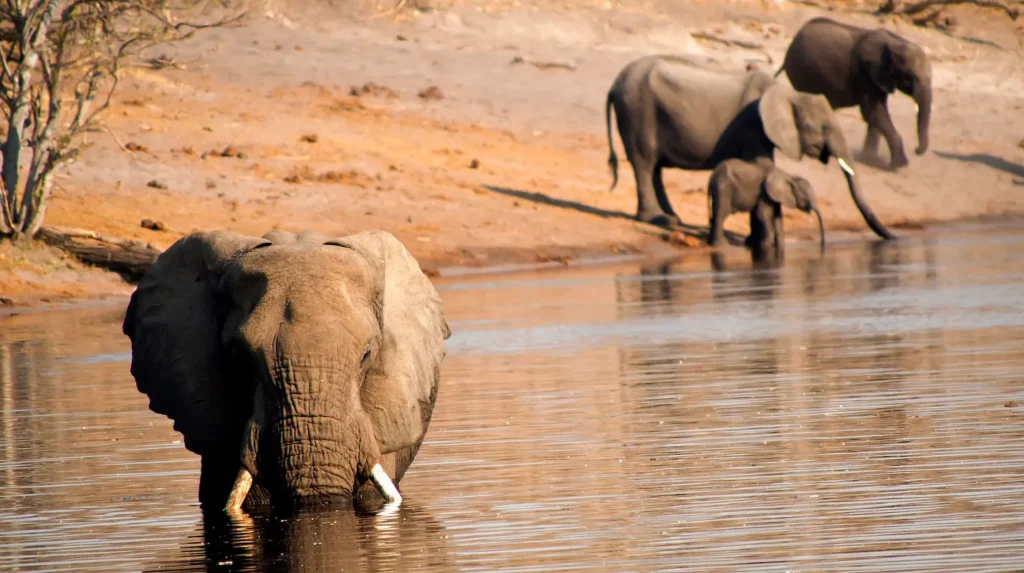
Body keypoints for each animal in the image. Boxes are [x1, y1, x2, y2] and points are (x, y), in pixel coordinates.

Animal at [605, 54, 776, 226]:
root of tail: (615, 83)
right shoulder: (755, 127)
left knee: (654, 166)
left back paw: (671, 218)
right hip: (638, 110)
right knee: (645, 161)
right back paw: (658, 219)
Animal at [776, 17, 932, 170]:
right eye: (911, 77)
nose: (917, 150)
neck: (897, 42)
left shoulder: (878, 78)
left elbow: (875, 114)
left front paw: (870, 159)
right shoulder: (865, 72)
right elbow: (873, 112)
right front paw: (899, 165)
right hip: (801, 72)